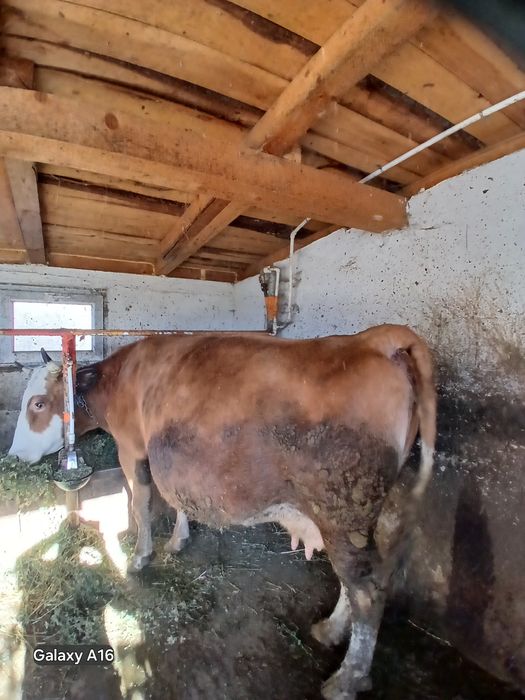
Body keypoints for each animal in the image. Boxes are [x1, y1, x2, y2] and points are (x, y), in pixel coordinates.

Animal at [9, 325, 436, 700]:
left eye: (38, 404)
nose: (14, 455)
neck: (119, 378)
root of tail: (375, 338)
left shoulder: (132, 448)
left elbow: (141, 504)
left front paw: (140, 557)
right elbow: (177, 499)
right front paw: (178, 541)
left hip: (343, 509)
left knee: (368, 589)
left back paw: (347, 679)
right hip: (364, 516)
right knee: (361, 579)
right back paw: (330, 630)